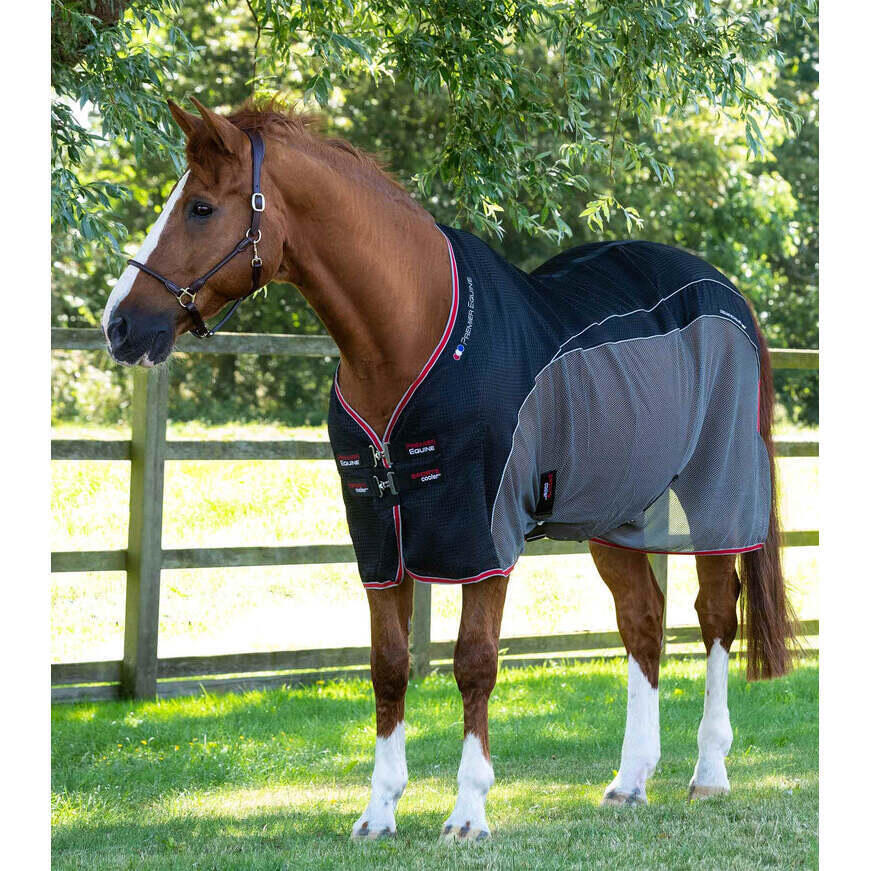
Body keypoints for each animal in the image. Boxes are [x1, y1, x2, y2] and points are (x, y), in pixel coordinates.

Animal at [101, 98, 795, 842]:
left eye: (200, 207)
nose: (120, 325)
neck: (408, 334)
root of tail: (727, 292)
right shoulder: (381, 535)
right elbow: (387, 666)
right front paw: (378, 810)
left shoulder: (479, 535)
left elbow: (473, 662)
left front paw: (468, 811)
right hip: (616, 510)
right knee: (642, 620)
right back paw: (630, 780)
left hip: (715, 490)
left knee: (716, 614)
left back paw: (709, 771)